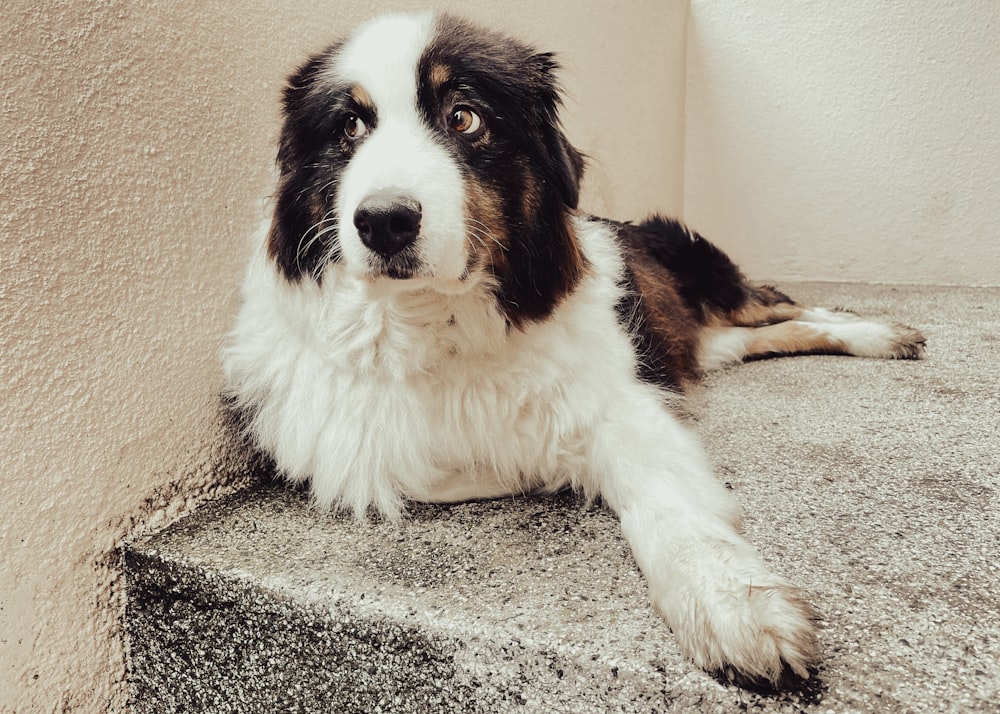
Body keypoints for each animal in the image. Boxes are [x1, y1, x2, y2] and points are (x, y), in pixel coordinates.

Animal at [223, 11, 924, 688]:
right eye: (349, 126)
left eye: (464, 117)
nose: (384, 220)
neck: (436, 317)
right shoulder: (354, 447)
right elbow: (471, 463)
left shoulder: (622, 398)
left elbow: (664, 496)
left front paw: (731, 607)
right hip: (704, 339)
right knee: (754, 335)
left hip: (711, 275)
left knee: (781, 305)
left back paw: (884, 333)